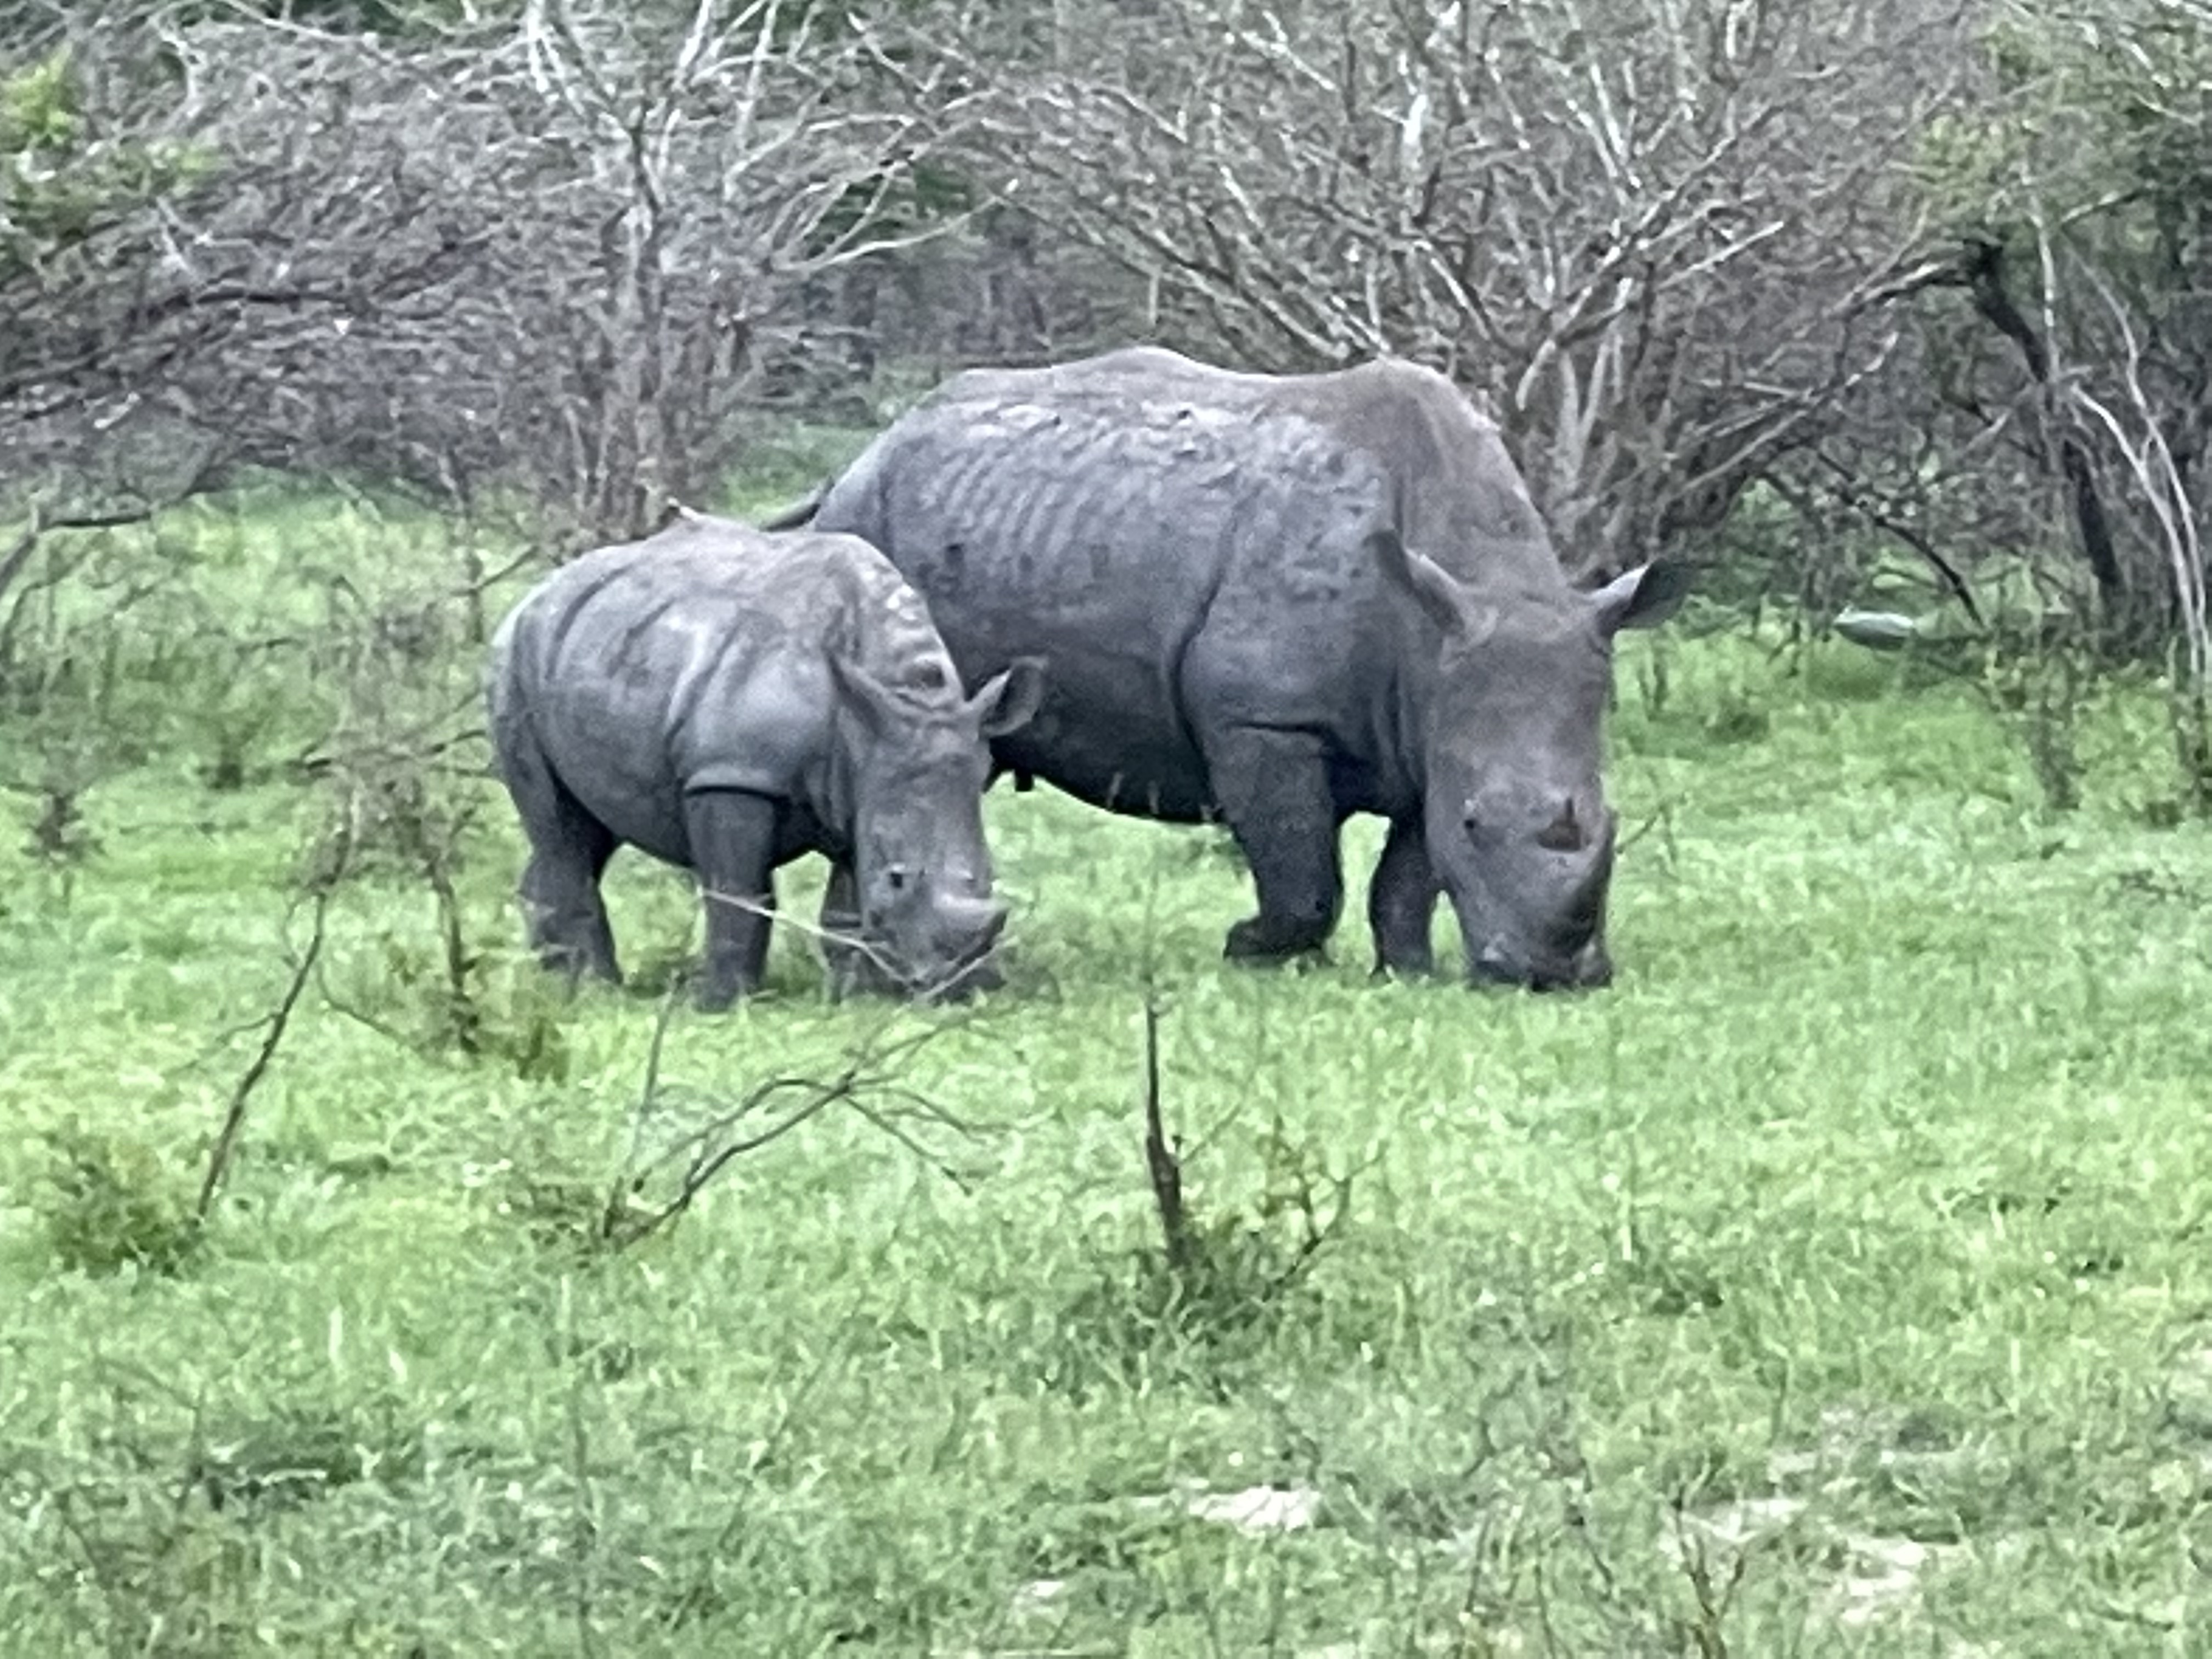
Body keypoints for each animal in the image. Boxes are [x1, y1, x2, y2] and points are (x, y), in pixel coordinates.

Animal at [485, 513, 1044, 1008]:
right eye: (897, 879)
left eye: (988, 879)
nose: (964, 990)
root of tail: (535, 597)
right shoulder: (733, 773)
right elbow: (739, 896)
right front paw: (725, 1004)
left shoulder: (861, 782)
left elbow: (846, 904)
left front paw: (856, 995)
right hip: (513, 668)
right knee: (559, 826)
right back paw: (594, 990)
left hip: (590, 649)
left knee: (586, 829)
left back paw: (549, 985)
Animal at [786, 347, 1688, 989]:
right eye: (1478, 823)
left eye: (1608, 822)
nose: (1556, 978)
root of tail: (862, 457)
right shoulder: (1264, 717)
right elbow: (1305, 874)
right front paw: (1252, 951)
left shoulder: (1430, 724)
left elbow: (1406, 874)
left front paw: (1407, 971)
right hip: (871, 520)